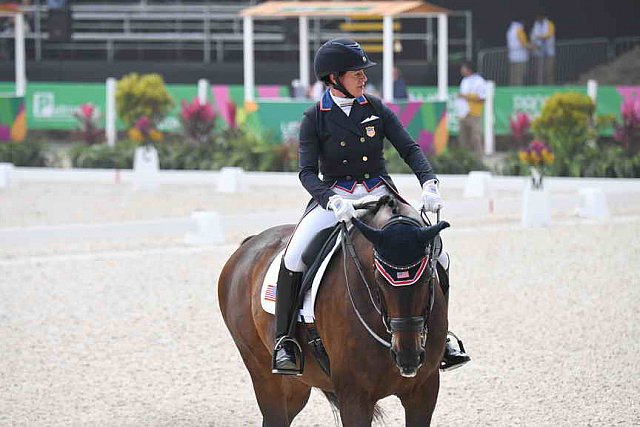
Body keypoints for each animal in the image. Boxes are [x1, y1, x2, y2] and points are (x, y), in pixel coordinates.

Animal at [220, 196, 450, 426]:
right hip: (263, 373)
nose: (408, 357)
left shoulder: (424, 391)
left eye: (428, 276)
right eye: (379, 279)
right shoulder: (354, 396)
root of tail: (248, 244)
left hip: (297, 385)